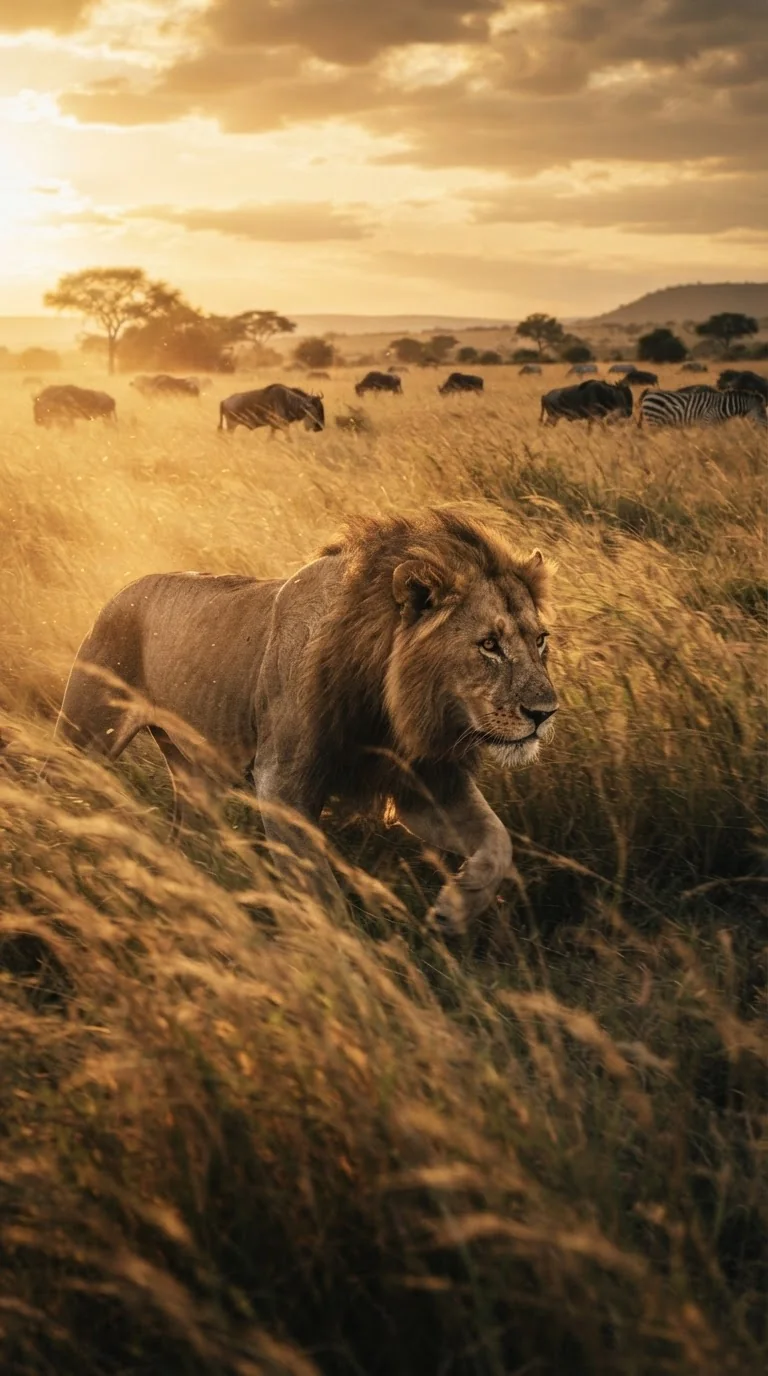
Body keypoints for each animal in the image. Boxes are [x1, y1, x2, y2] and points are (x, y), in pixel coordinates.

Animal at [55, 507, 558, 930]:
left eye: (540, 641)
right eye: (489, 645)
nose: (545, 712)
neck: (389, 709)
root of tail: (121, 591)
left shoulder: (423, 783)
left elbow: (498, 840)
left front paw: (459, 903)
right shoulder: (280, 783)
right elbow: (321, 893)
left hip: (197, 771)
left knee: (185, 838)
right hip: (85, 738)